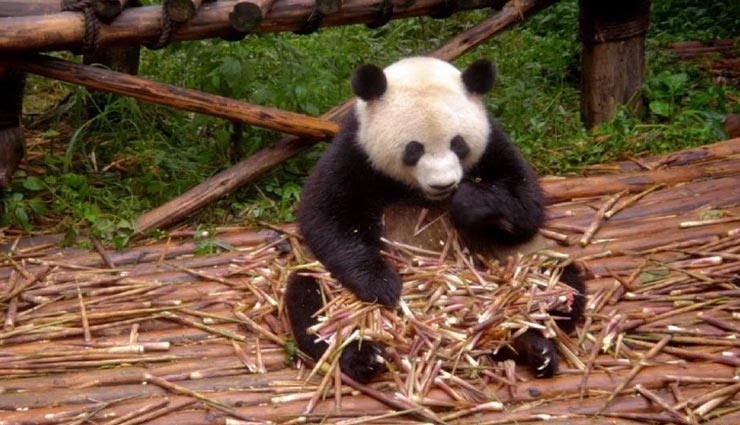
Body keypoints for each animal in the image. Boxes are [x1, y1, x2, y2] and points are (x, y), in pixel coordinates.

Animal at [285, 57, 585, 383]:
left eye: (459, 144)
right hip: (323, 283)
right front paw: (382, 284)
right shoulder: (354, 151)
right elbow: (326, 215)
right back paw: (363, 357)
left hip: (527, 261)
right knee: (311, 303)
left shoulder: (493, 142)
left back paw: (533, 344)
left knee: (560, 284)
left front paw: (469, 203)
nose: (443, 184)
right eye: (413, 149)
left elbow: (526, 204)